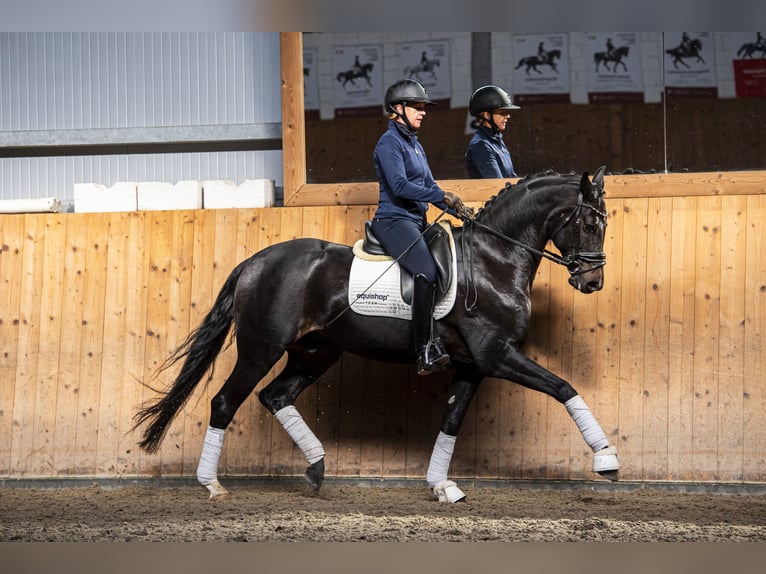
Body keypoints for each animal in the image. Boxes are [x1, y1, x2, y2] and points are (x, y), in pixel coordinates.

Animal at [135, 165, 620, 504]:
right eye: (589, 223)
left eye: (605, 222)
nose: (593, 281)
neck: (492, 260)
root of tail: (255, 262)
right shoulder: (495, 354)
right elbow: (563, 387)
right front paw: (606, 459)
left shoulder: (472, 364)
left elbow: (451, 420)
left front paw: (441, 486)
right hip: (261, 349)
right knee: (225, 401)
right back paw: (213, 485)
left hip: (315, 352)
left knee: (275, 396)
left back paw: (316, 469)